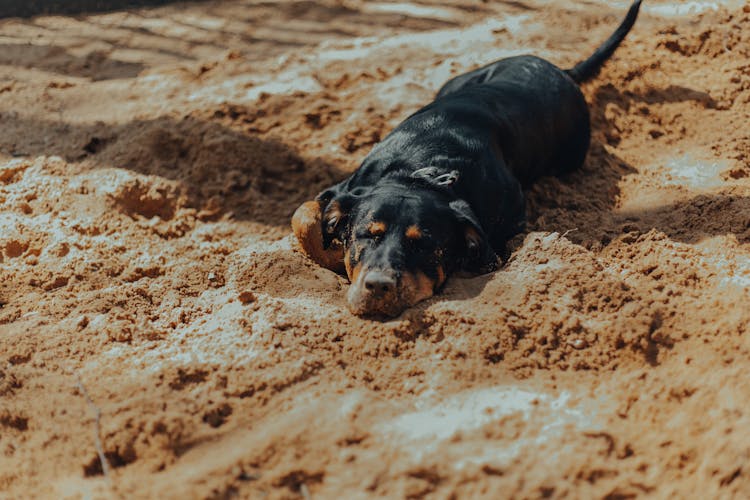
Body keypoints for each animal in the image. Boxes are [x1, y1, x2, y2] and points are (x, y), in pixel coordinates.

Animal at [294, 0, 648, 316]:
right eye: (369, 234)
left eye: (423, 245)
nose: (379, 285)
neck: (420, 170)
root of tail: (562, 71)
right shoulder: (344, 188)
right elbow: (305, 216)